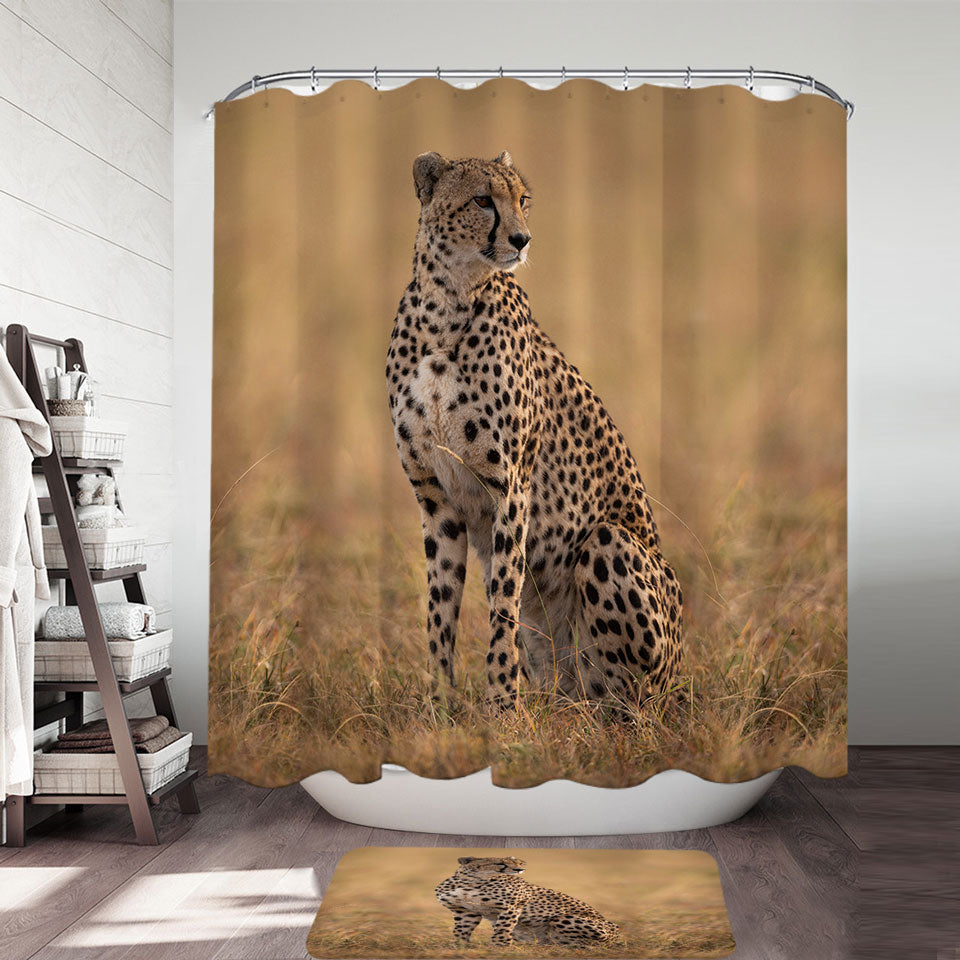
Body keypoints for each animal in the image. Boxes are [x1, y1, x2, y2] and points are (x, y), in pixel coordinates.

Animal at [385, 149, 682, 708]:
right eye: (482, 200)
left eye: (522, 199)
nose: (522, 239)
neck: (447, 303)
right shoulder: (436, 499)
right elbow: (440, 608)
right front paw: (439, 703)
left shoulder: (511, 487)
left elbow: (504, 603)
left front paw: (502, 702)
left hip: (610, 544)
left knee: (627, 697)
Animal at [435, 856, 620, 947]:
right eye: (500, 863)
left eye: (519, 862)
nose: (520, 869)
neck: (469, 882)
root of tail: (618, 932)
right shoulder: (466, 911)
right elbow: (461, 931)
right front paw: (460, 945)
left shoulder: (512, 906)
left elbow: (503, 928)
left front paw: (500, 946)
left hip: (563, 918)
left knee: (585, 942)